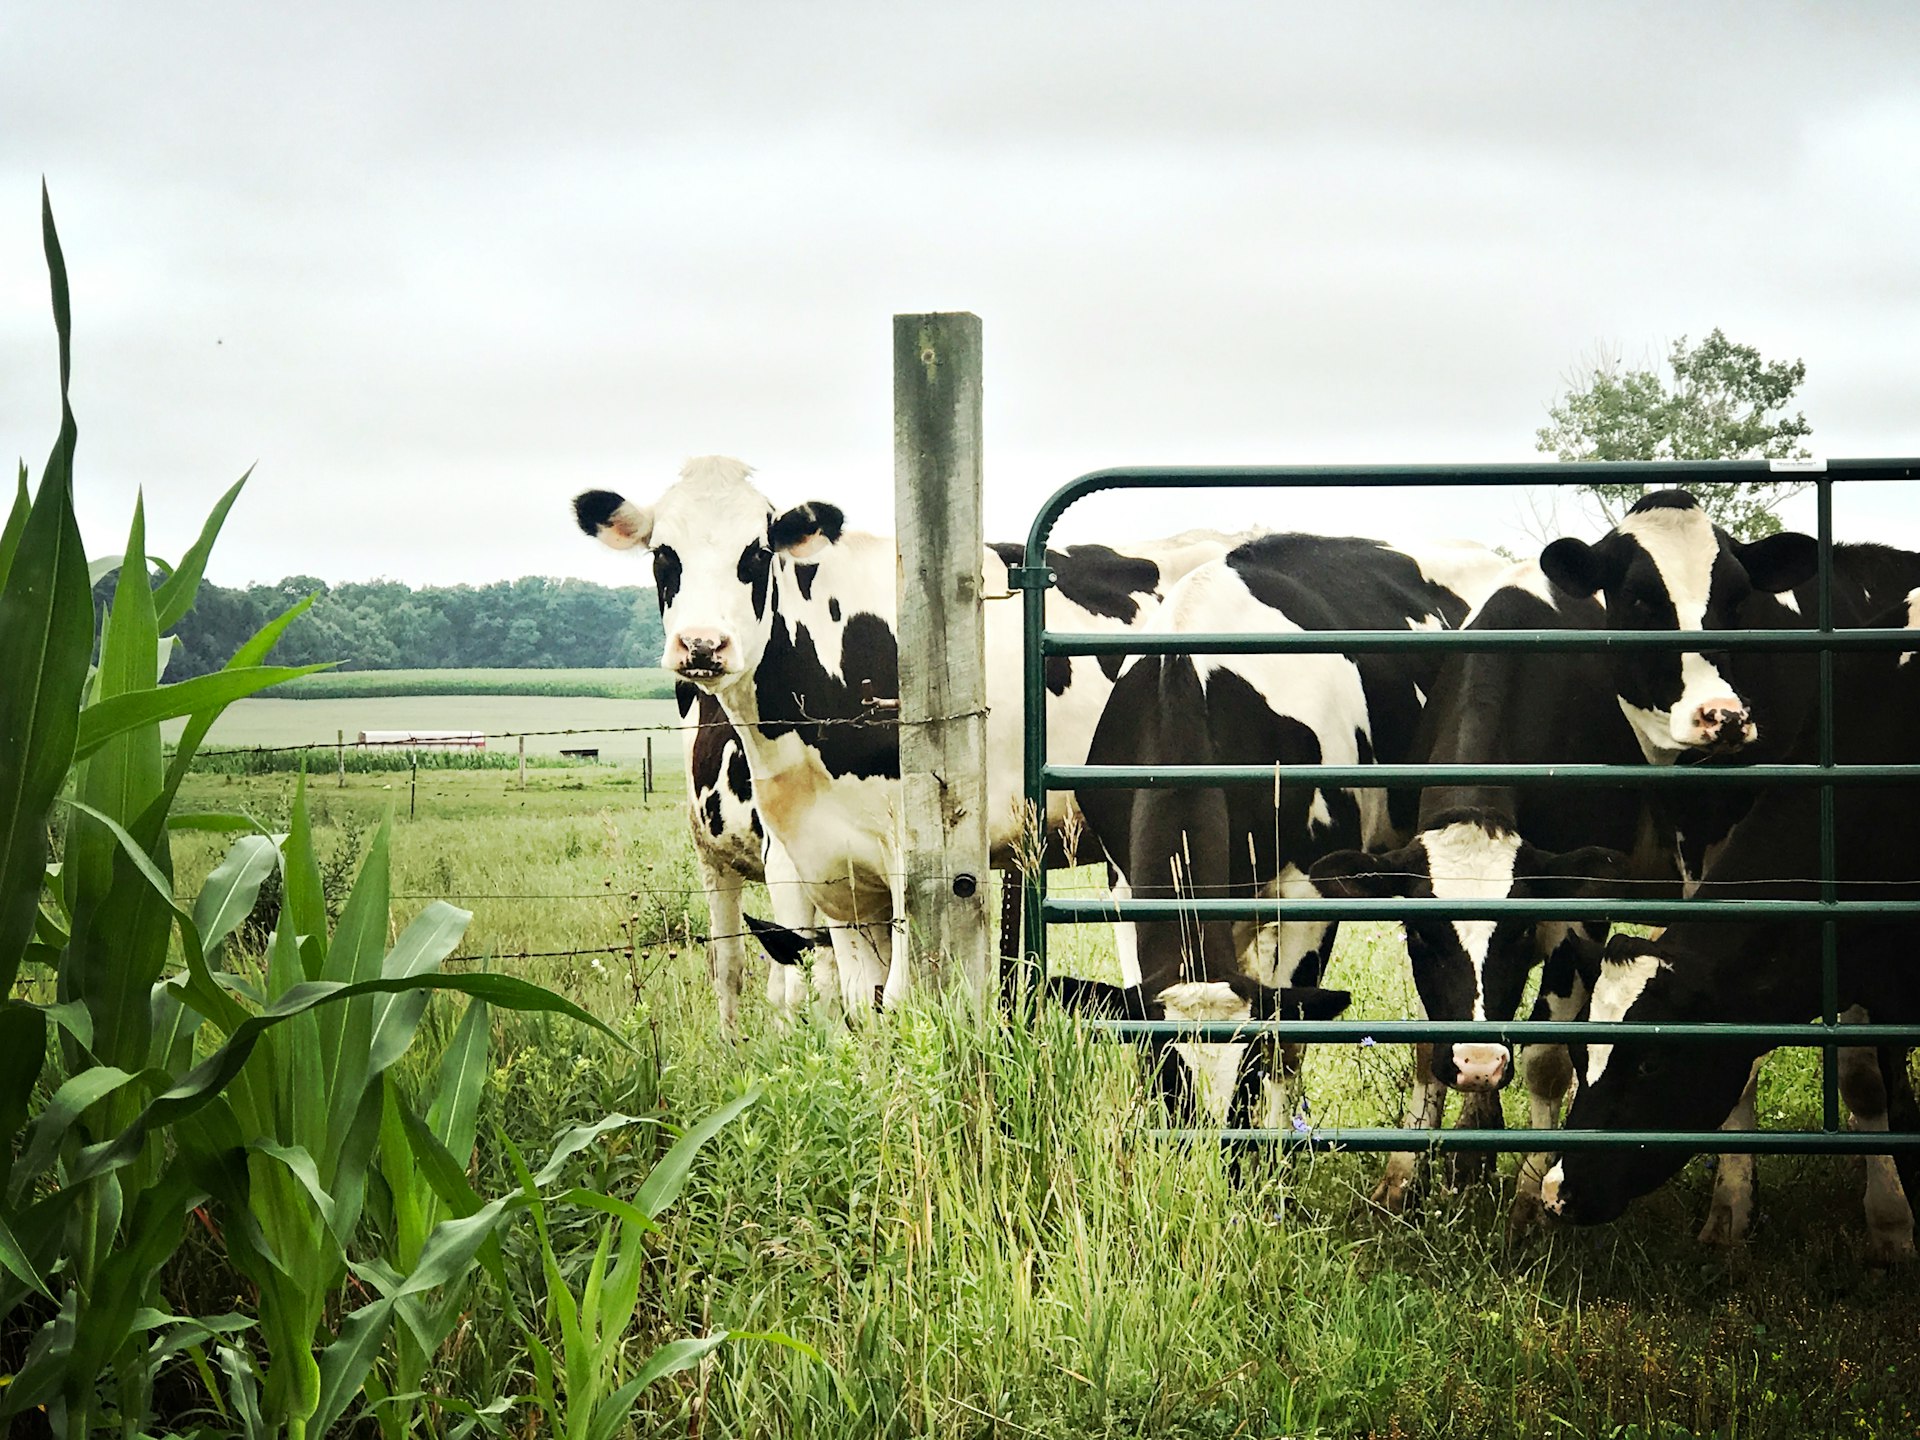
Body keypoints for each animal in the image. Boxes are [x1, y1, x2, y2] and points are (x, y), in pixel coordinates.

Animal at [572, 456, 1228, 1021]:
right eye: (663, 555)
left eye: (755, 553)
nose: (703, 645)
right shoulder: (824, 865)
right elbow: (847, 997)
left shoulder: (912, 863)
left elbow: (898, 995)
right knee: (729, 964)